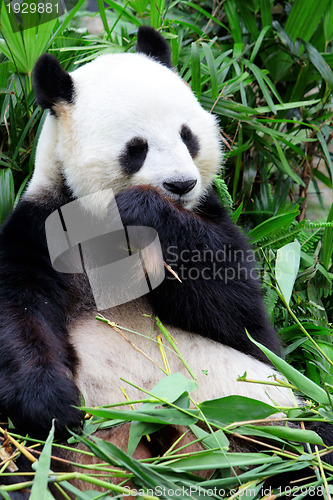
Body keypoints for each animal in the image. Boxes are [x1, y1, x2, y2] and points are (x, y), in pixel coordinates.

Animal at [0, 26, 328, 496]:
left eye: (187, 135)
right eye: (136, 148)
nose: (182, 184)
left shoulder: (211, 219)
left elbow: (244, 316)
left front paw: (143, 209)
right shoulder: (43, 230)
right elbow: (19, 312)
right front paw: (52, 406)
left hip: (255, 413)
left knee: (306, 437)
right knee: (24, 469)